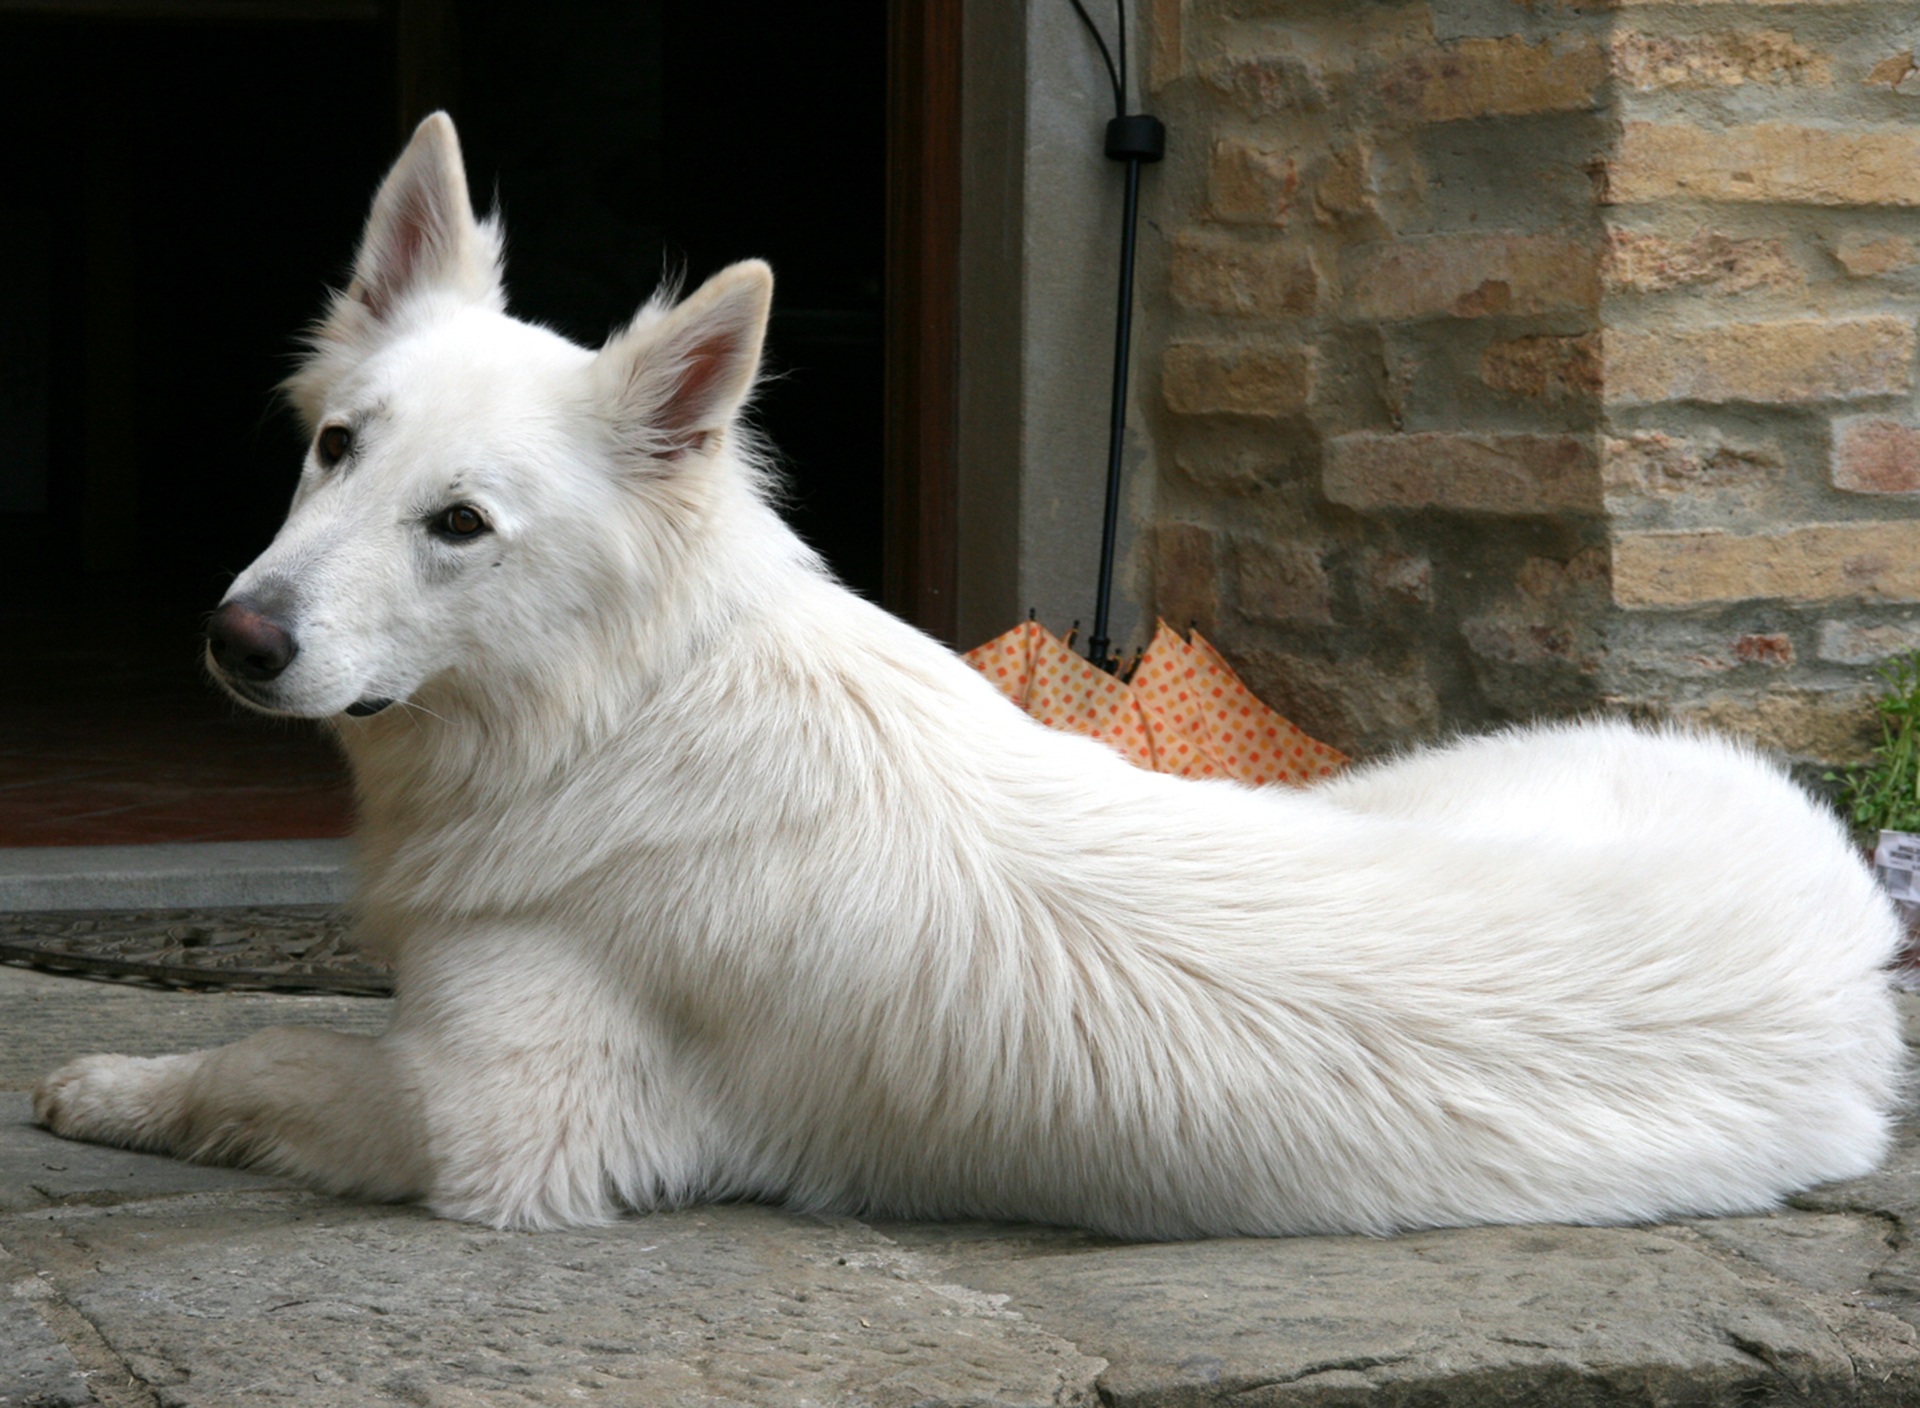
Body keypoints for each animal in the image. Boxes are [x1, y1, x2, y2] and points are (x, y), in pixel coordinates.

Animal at [37, 115, 1896, 1237]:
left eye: (461, 525)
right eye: (335, 448)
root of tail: (1853, 912)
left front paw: (111, 1085)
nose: (238, 638)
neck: (612, 707)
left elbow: (266, 1054)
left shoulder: (504, 1130)